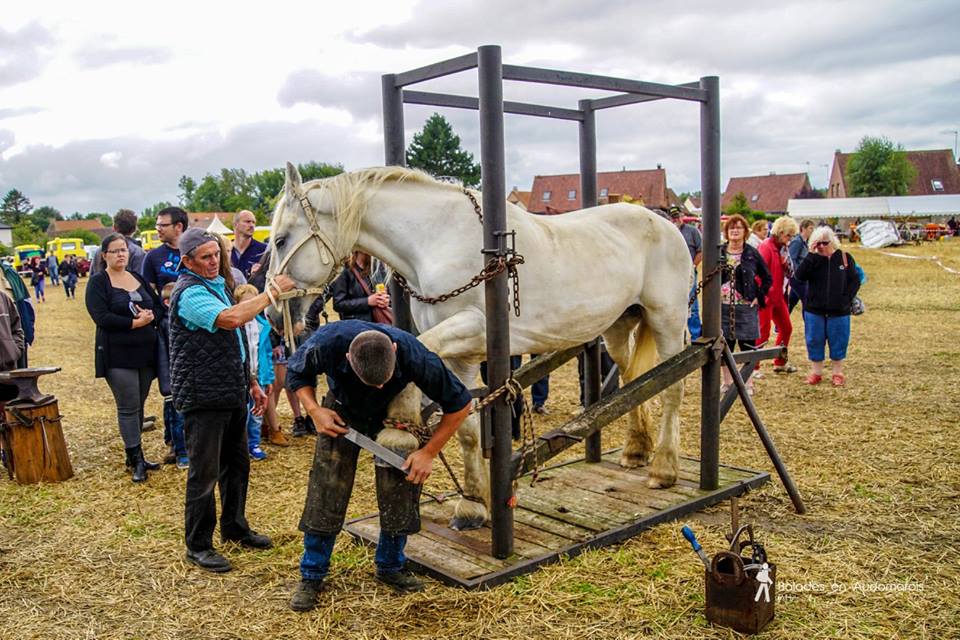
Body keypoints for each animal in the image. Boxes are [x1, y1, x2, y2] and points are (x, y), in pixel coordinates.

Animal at [266, 164, 692, 528]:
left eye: (281, 240)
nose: (271, 312)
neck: (438, 240)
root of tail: (665, 225)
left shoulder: (473, 328)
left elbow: (416, 350)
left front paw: (400, 423)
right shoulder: (465, 356)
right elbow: (467, 424)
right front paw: (473, 503)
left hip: (668, 321)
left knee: (672, 388)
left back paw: (664, 468)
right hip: (619, 327)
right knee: (635, 379)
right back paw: (636, 450)